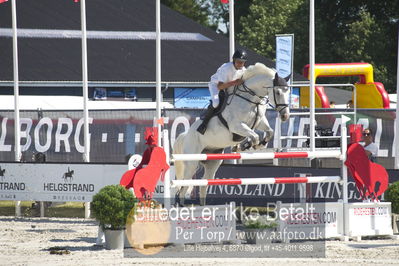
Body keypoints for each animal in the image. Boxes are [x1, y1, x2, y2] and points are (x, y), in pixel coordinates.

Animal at [173, 62, 290, 206]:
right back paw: (182, 205)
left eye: (288, 92)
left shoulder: (260, 122)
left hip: (213, 162)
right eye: (278, 92)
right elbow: (254, 136)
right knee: (184, 186)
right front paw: (244, 146)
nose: (285, 116)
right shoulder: (236, 126)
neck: (251, 99)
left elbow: (269, 131)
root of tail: (185, 136)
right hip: (192, 162)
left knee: (203, 184)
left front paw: (257, 145)